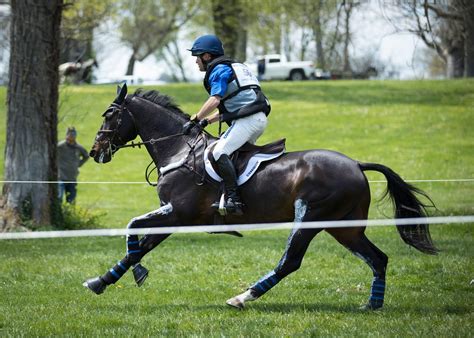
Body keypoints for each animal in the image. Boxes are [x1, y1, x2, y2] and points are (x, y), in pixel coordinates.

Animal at [82, 84, 436, 308]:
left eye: (109, 116)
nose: (95, 151)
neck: (179, 149)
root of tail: (356, 164)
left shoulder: (178, 213)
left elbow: (134, 231)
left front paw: (124, 276)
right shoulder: (175, 216)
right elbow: (139, 242)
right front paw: (104, 280)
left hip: (311, 217)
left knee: (290, 261)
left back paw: (242, 297)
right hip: (344, 227)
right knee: (378, 259)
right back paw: (372, 305)